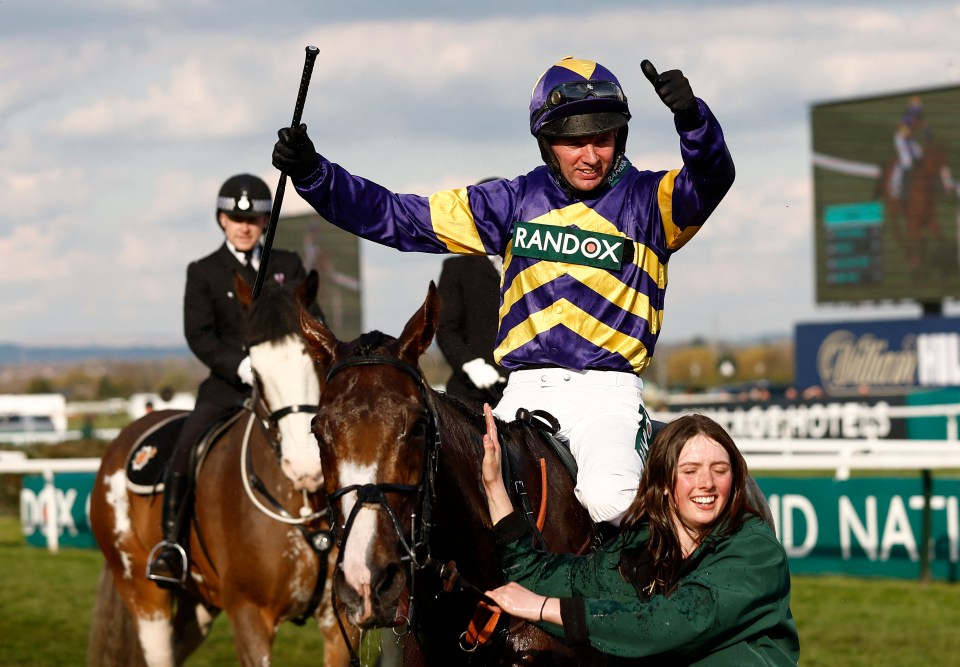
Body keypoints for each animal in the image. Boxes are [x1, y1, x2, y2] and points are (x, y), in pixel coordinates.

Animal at [89, 270, 360, 667]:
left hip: (199, 601)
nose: (305, 464)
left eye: (315, 360)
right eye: (256, 371)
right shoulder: (249, 614)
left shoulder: (340, 623)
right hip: (142, 590)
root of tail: (125, 437)